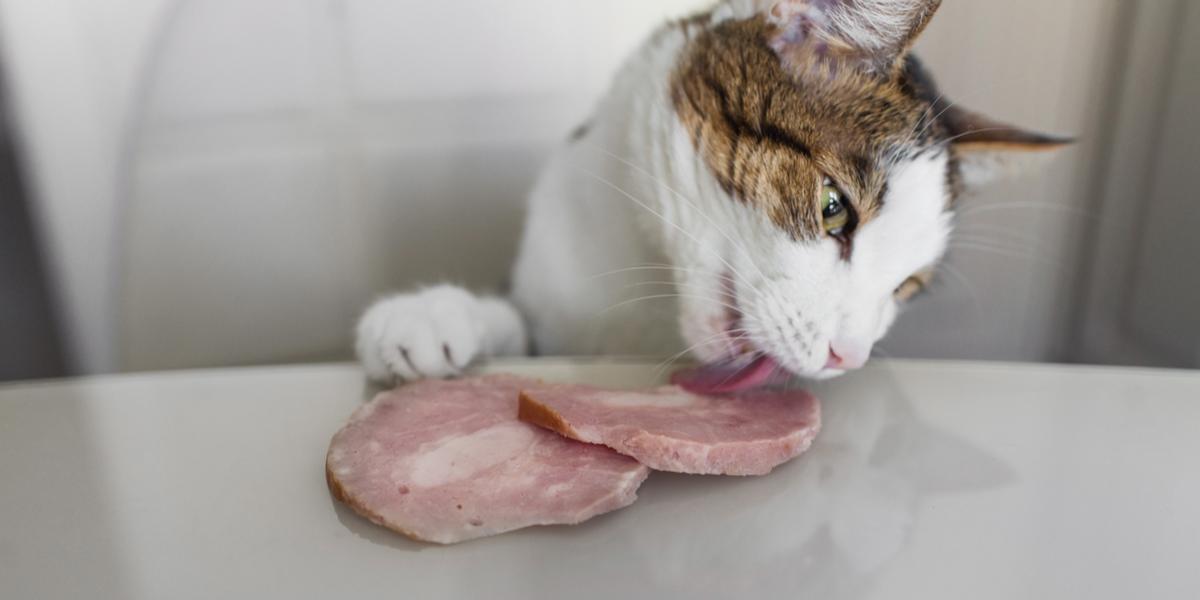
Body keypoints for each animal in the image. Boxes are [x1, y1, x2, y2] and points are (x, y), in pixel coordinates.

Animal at [350, 0, 1065, 384]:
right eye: (834, 208)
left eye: (906, 288)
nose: (848, 358)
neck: (651, 286)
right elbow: (514, 317)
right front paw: (430, 315)